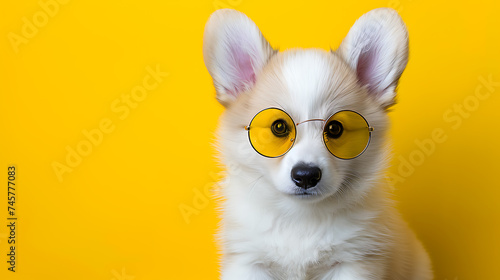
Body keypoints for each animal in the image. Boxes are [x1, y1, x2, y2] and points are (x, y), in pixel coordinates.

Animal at [203, 7, 434, 278]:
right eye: (279, 127)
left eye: (335, 128)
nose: (306, 175)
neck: (300, 218)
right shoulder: (248, 262)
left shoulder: (353, 261)